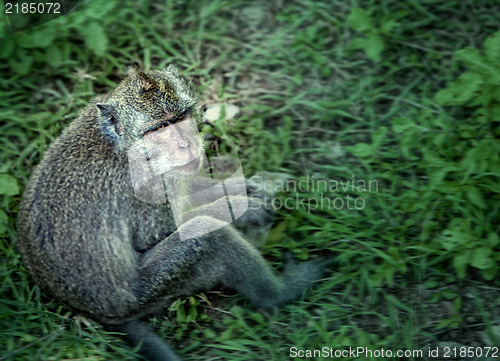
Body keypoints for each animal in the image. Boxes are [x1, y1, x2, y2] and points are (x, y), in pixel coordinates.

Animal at [16, 65, 332, 360]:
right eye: (159, 128)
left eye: (180, 118)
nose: (186, 144)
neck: (123, 146)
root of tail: (100, 314)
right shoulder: (144, 185)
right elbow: (157, 234)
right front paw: (242, 209)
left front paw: (243, 187)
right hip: (151, 291)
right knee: (205, 237)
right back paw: (281, 292)